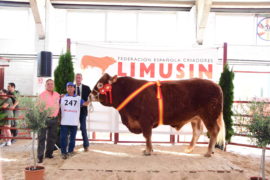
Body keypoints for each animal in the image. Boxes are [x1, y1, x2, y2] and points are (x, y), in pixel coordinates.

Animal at [91, 74, 226, 157]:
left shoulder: (145, 121)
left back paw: (208, 152)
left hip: (209, 116)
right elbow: (148, 137)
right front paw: (149, 150)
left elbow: (147, 136)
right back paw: (190, 149)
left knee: (214, 131)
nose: (90, 95)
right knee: (197, 131)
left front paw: (148, 151)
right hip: (196, 117)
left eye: (100, 84)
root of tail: (216, 85)